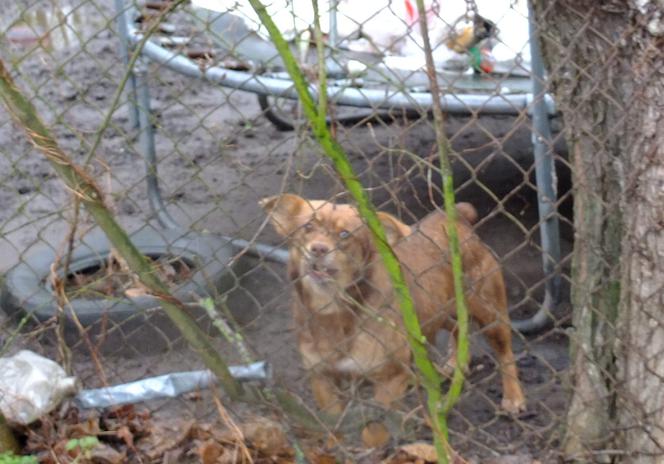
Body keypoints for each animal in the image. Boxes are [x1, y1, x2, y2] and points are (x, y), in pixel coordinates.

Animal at [260, 194, 524, 416]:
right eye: (307, 227)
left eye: (345, 235)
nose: (318, 249)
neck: (333, 310)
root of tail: (452, 217)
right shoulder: (322, 380)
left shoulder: (390, 379)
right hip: (437, 310)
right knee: (458, 327)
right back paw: (454, 363)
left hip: (489, 312)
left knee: (505, 352)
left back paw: (513, 397)